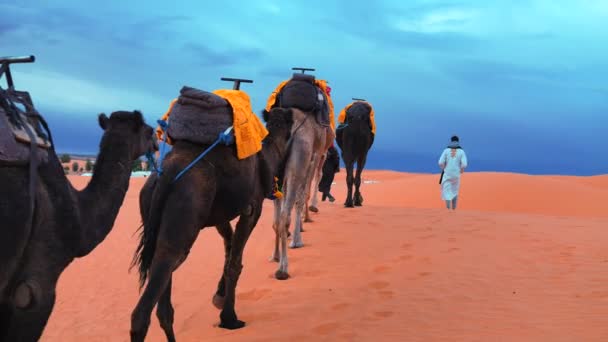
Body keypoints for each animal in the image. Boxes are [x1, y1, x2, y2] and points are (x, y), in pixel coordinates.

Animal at [129, 106, 294, 340]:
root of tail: (166, 174)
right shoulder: (252, 208)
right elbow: (235, 262)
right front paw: (229, 318)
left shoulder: (220, 216)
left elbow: (229, 245)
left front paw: (219, 297)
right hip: (185, 214)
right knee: (143, 310)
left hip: (152, 211)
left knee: (163, 294)